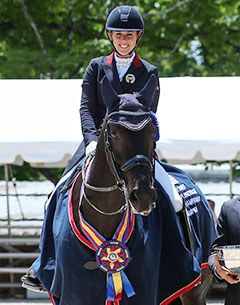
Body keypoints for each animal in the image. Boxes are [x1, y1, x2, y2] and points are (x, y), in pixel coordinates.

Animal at [27, 74, 216, 304]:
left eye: (153, 132)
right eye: (115, 133)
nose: (142, 196)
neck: (105, 212)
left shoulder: (146, 290)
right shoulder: (74, 292)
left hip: (195, 288)